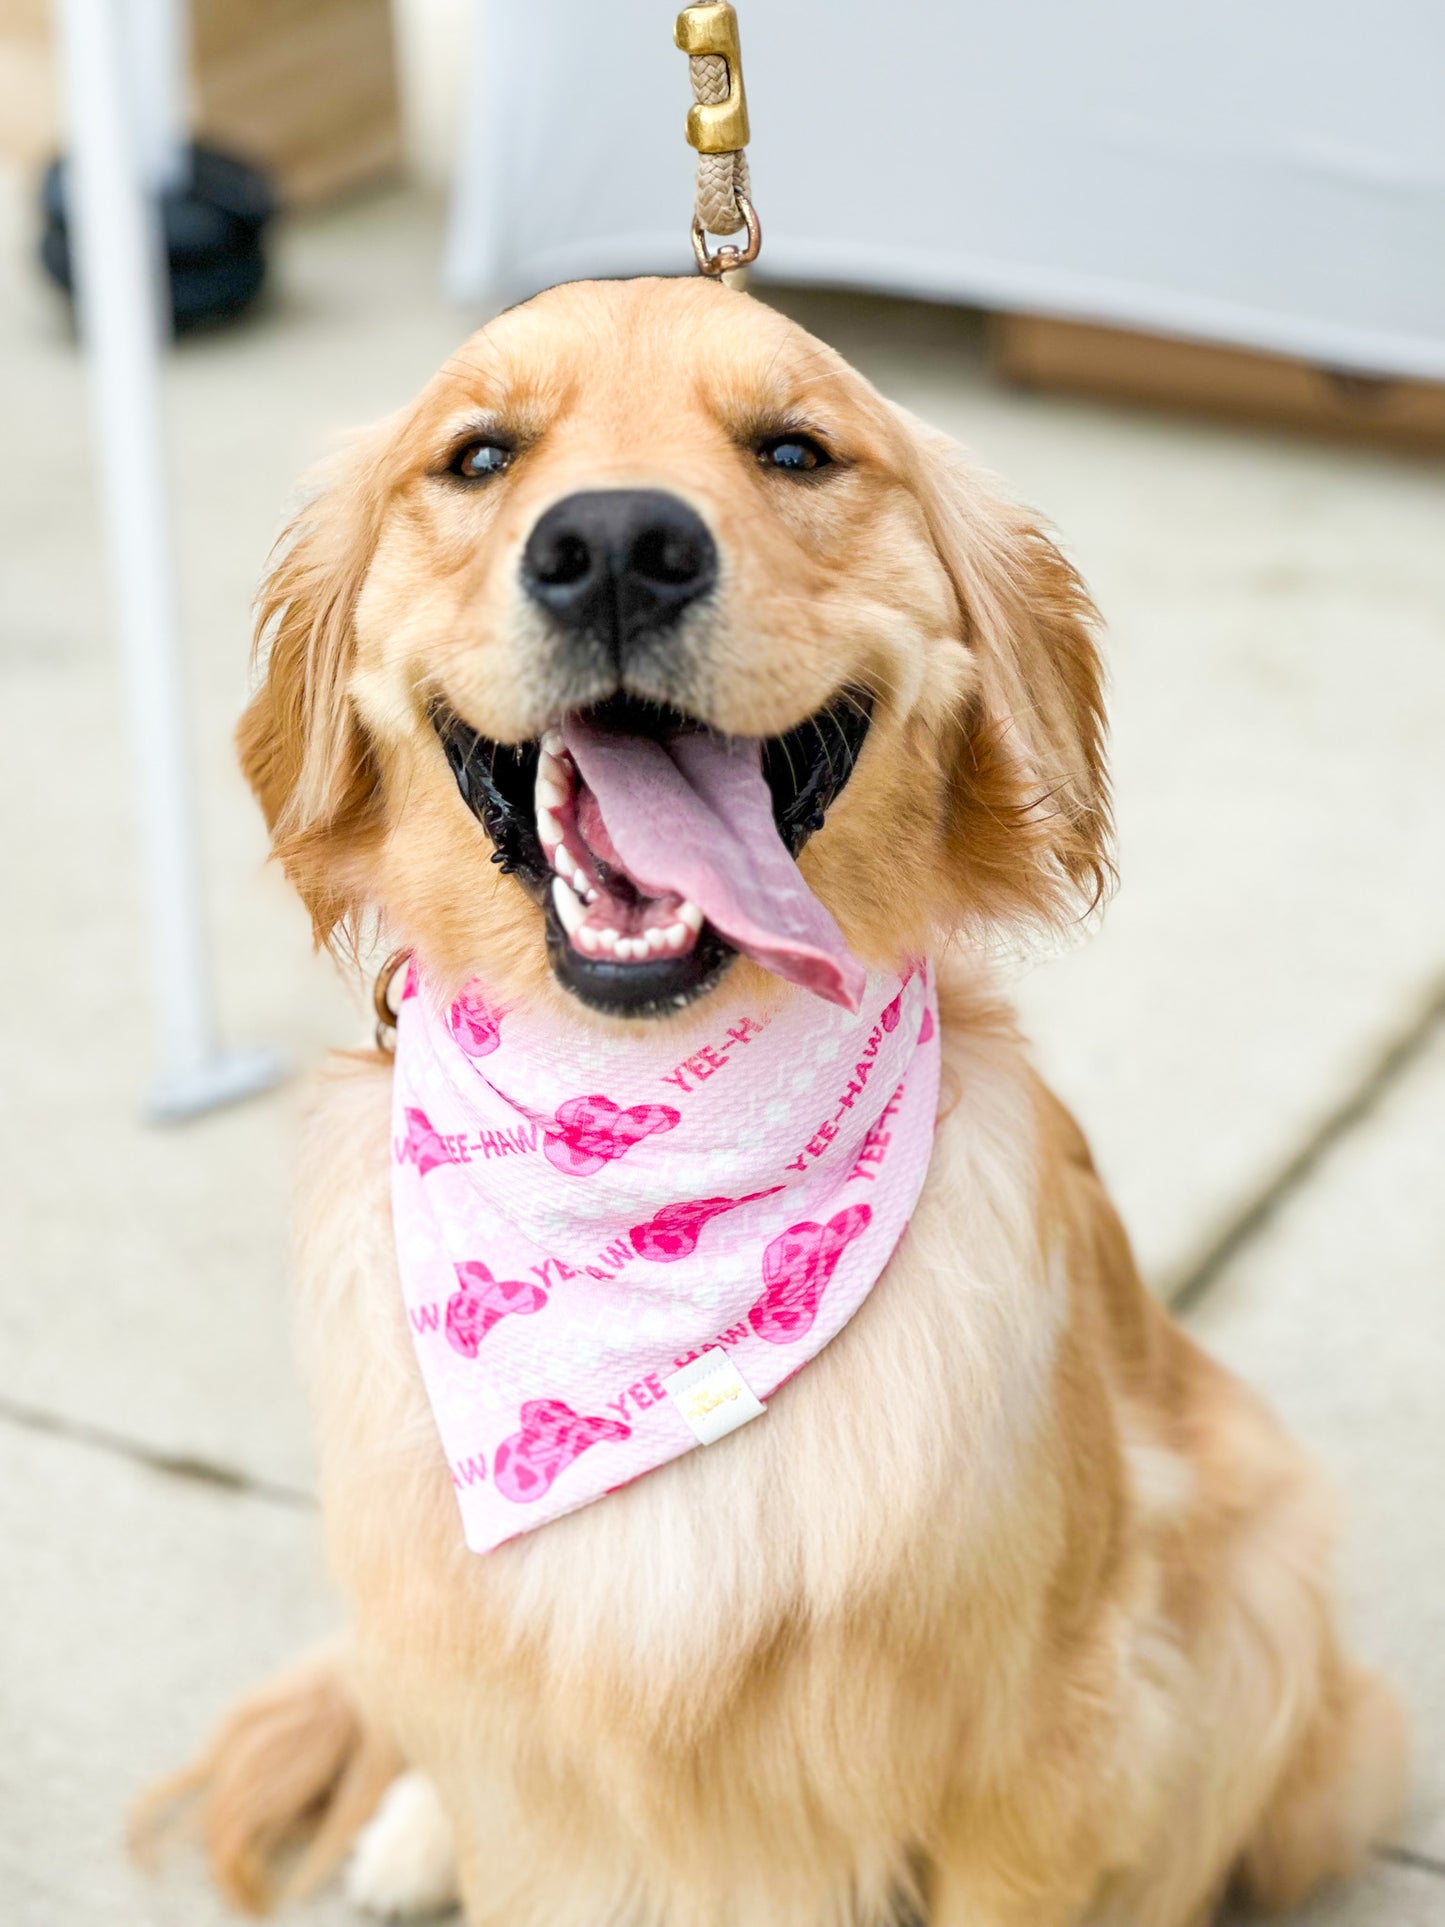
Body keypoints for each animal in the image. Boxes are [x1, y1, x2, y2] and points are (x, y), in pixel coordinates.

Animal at [160, 275, 1418, 1927]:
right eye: (480, 454)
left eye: (796, 450)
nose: (614, 545)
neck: (649, 1175)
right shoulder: (538, 1773)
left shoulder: (1041, 1743)